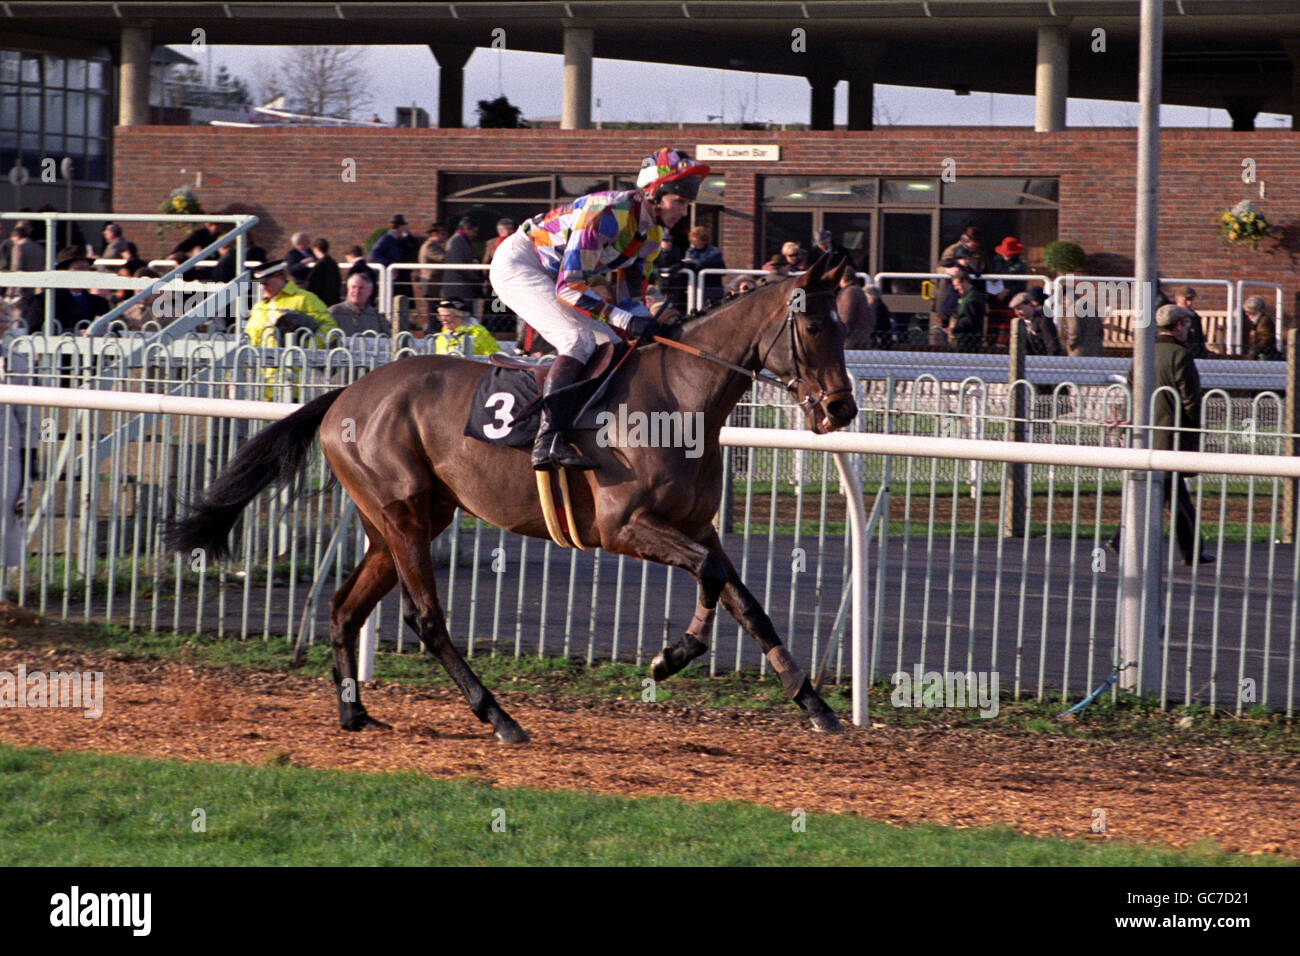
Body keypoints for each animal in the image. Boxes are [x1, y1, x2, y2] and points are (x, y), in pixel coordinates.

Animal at [166, 256, 858, 743]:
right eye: (813, 324)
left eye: (846, 324)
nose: (842, 409)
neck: (678, 395)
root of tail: (345, 396)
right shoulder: (625, 526)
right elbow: (713, 576)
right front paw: (671, 657)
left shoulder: (696, 524)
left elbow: (745, 600)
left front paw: (814, 702)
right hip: (402, 515)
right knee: (426, 620)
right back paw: (498, 716)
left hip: (400, 521)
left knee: (344, 608)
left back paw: (354, 713)